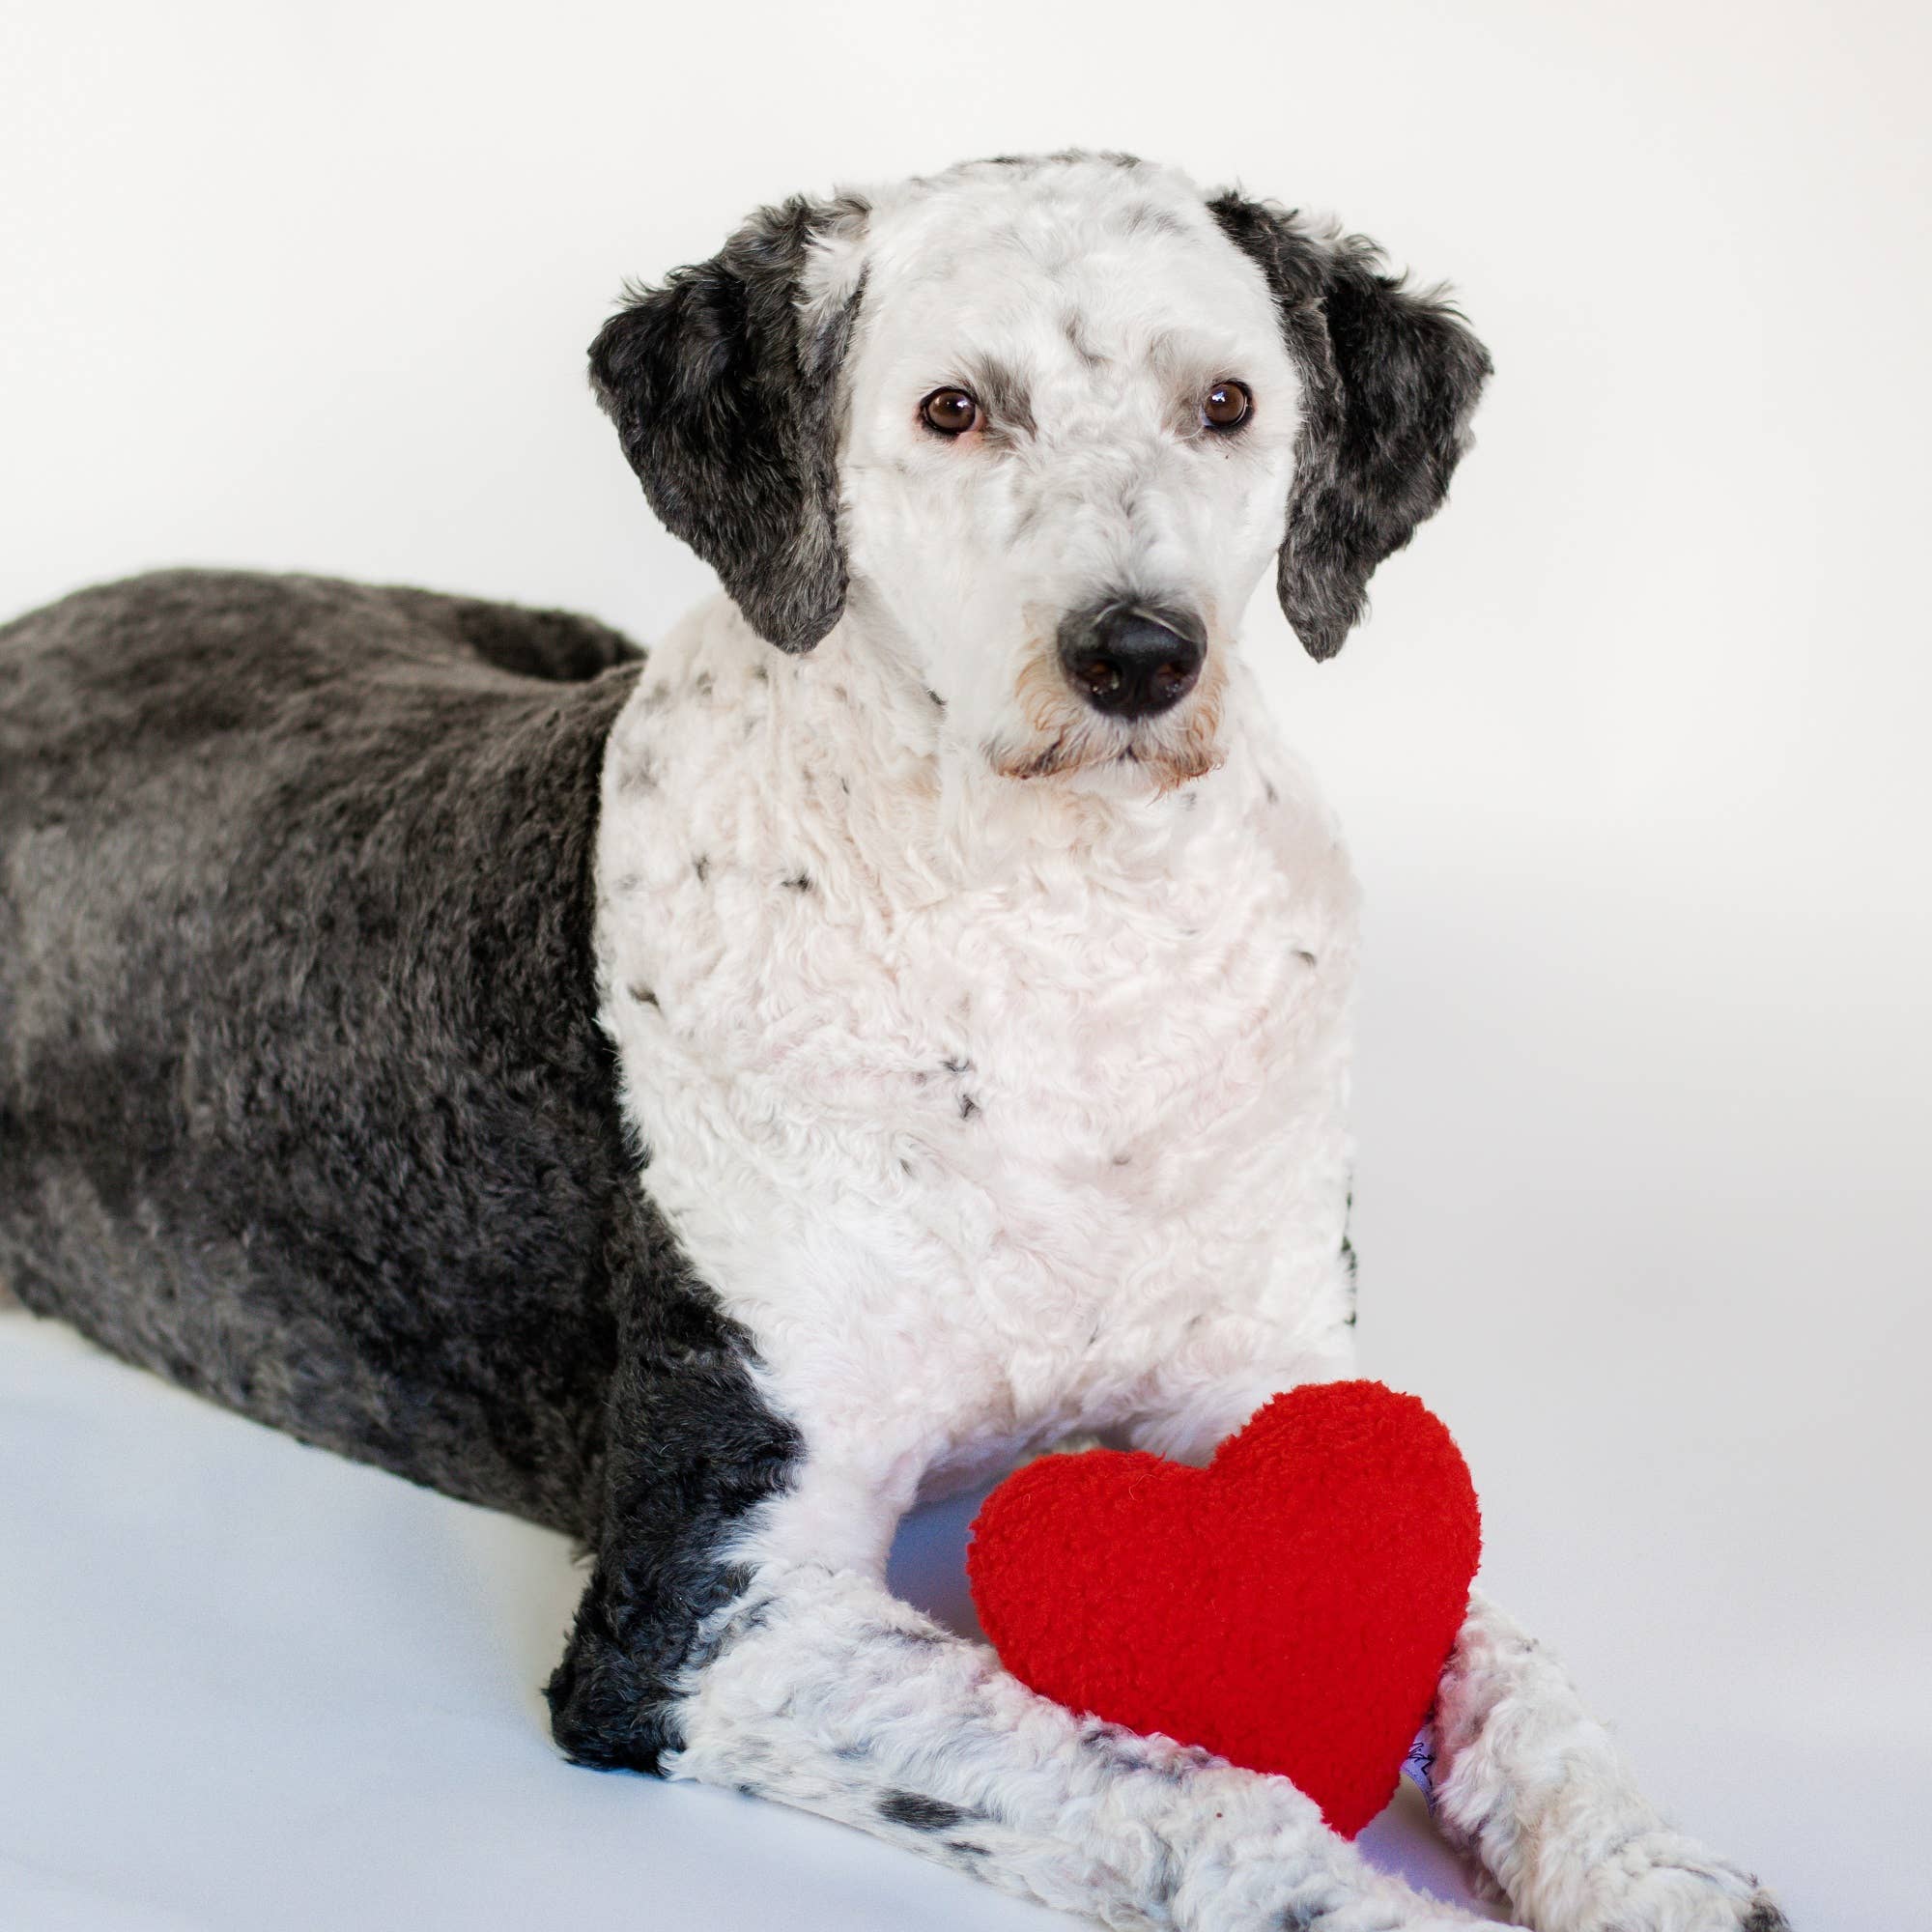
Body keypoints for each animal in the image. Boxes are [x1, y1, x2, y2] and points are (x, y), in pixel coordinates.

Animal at [0, 155, 1785, 1932]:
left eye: (1224, 403)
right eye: (953, 410)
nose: (1137, 654)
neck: (1066, 936)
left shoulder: (1294, 1402)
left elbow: (1509, 1664)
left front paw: (1660, 1867)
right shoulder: (709, 1617)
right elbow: (1177, 1784)